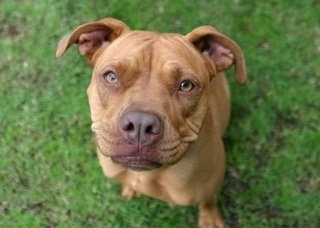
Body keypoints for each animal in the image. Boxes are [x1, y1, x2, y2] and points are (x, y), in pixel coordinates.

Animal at [56, 16, 248, 227]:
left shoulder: (207, 188)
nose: (140, 124)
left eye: (186, 85)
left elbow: (208, 201)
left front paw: (210, 218)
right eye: (112, 76)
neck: (147, 176)